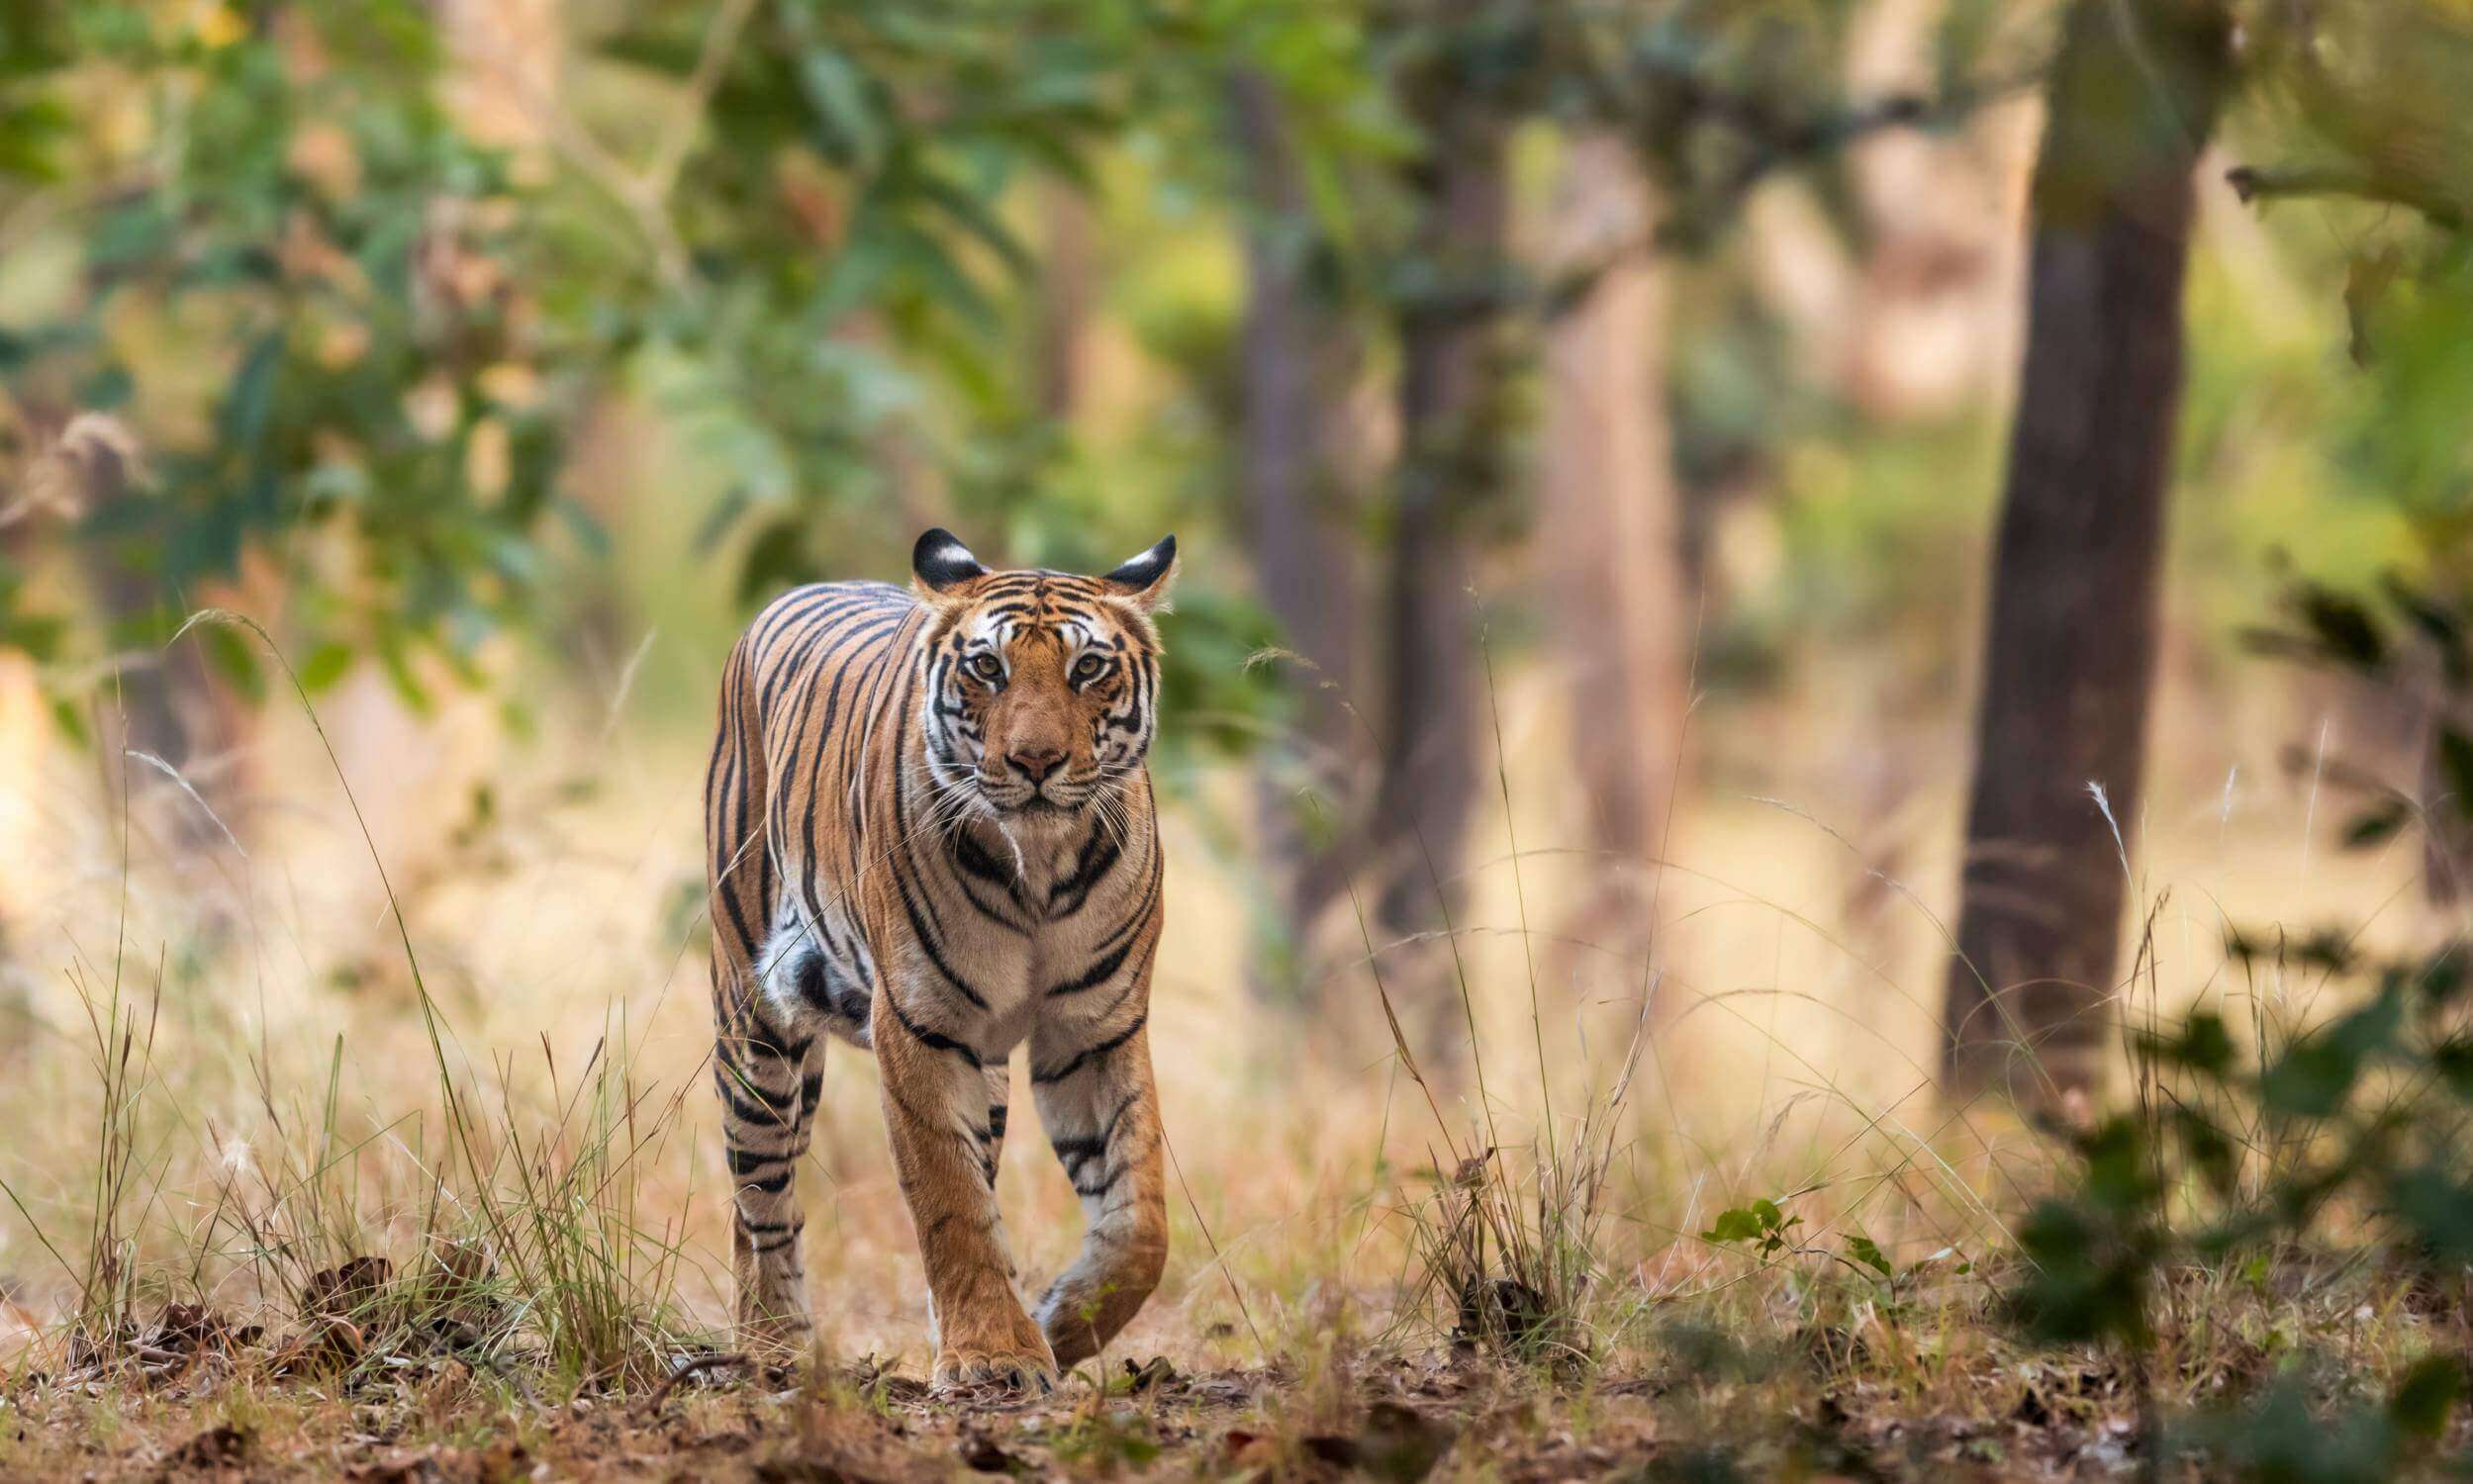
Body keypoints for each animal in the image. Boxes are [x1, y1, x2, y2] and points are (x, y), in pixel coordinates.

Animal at [707, 526, 1177, 1395]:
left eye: (1088, 668)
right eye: (986, 668)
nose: (1035, 761)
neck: (1039, 864)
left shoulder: (1095, 1030)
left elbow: (1140, 1222)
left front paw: (1058, 1322)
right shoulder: (921, 1023)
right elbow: (949, 1198)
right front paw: (993, 1353)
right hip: (753, 1025)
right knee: (760, 1201)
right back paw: (772, 1345)